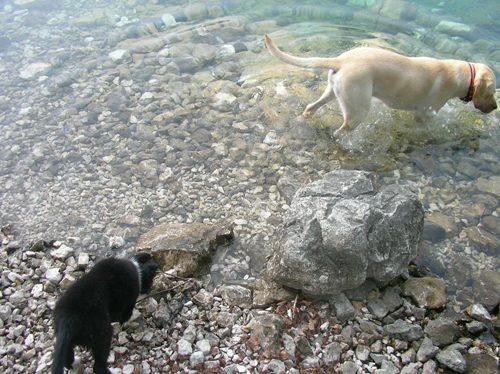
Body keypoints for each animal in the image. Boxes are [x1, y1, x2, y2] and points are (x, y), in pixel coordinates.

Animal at [264, 34, 498, 137]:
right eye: (491, 93)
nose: (496, 107)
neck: (459, 74)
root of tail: (341, 60)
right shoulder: (425, 115)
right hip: (358, 109)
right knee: (341, 131)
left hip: (332, 92)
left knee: (310, 108)